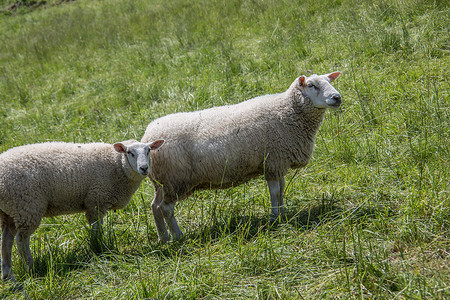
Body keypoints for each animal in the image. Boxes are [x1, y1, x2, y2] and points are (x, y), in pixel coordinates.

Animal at [0, 139, 164, 282]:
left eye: (148, 150)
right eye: (130, 152)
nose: (144, 168)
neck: (116, 165)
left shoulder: (96, 202)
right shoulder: (96, 200)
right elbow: (97, 229)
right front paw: (98, 248)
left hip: (9, 212)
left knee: (6, 241)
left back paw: (8, 275)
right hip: (27, 206)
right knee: (21, 241)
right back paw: (31, 268)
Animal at [142, 71, 342, 243]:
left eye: (330, 81)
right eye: (311, 85)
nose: (337, 97)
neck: (286, 111)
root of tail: (147, 138)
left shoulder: (278, 163)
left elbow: (282, 189)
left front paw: (283, 213)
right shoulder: (273, 161)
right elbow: (275, 192)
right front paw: (274, 218)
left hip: (162, 183)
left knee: (155, 206)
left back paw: (163, 237)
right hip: (175, 179)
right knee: (166, 208)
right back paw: (178, 236)